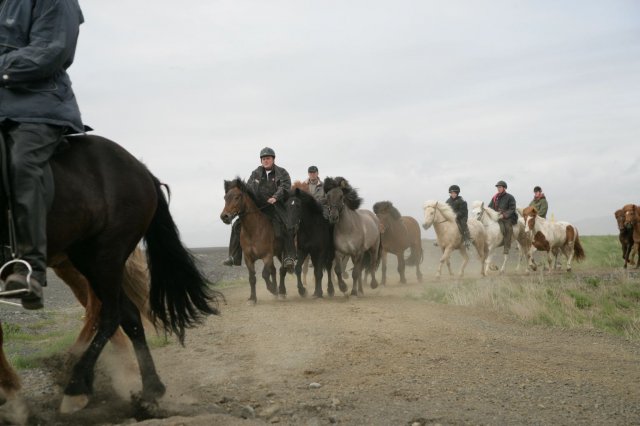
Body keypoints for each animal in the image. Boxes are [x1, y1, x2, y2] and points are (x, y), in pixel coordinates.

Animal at [0, 135, 221, 414]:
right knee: (128, 315)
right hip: (85, 259)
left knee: (110, 314)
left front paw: (10, 394)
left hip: (103, 256)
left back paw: (77, 386)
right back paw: (149, 389)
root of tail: (142, 170)